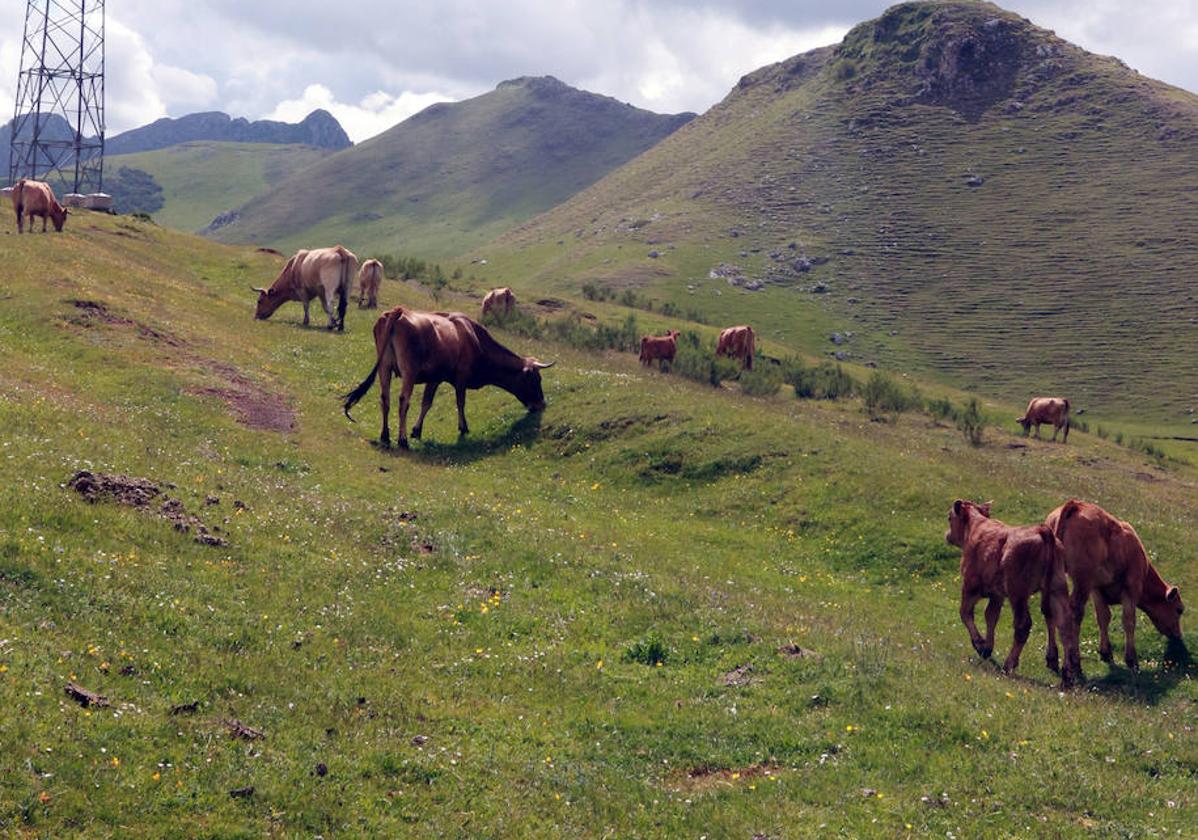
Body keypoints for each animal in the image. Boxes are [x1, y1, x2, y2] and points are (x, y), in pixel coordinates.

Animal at [345, 304, 553, 448]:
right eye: (535, 380)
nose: (542, 404)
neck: (474, 339)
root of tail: (399, 312)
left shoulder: (434, 378)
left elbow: (426, 403)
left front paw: (417, 430)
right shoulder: (461, 376)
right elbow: (460, 402)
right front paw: (463, 427)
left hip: (384, 367)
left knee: (385, 399)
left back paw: (385, 436)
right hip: (409, 372)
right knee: (403, 401)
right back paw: (402, 440)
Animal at [948, 493, 1082, 685]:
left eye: (949, 517)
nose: (948, 535)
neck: (976, 526)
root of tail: (1043, 530)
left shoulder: (971, 586)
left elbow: (965, 613)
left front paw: (979, 644)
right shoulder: (997, 594)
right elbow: (991, 616)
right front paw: (987, 647)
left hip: (1018, 593)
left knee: (1023, 625)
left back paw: (1009, 664)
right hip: (1057, 589)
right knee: (1065, 625)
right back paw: (1067, 674)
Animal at [1044, 500, 1183, 671]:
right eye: (1179, 610)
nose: (1178, 635)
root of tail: (1076, 505)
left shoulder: (1097, 589)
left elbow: (1103, 617)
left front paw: (1105, 652)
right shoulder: (1131, 588)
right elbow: (1129, 621)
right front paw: (1131, 658)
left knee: (1050, 609)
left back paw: (1052, 657)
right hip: (1082, 580)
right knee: (1075, 612)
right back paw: (1075, 661)